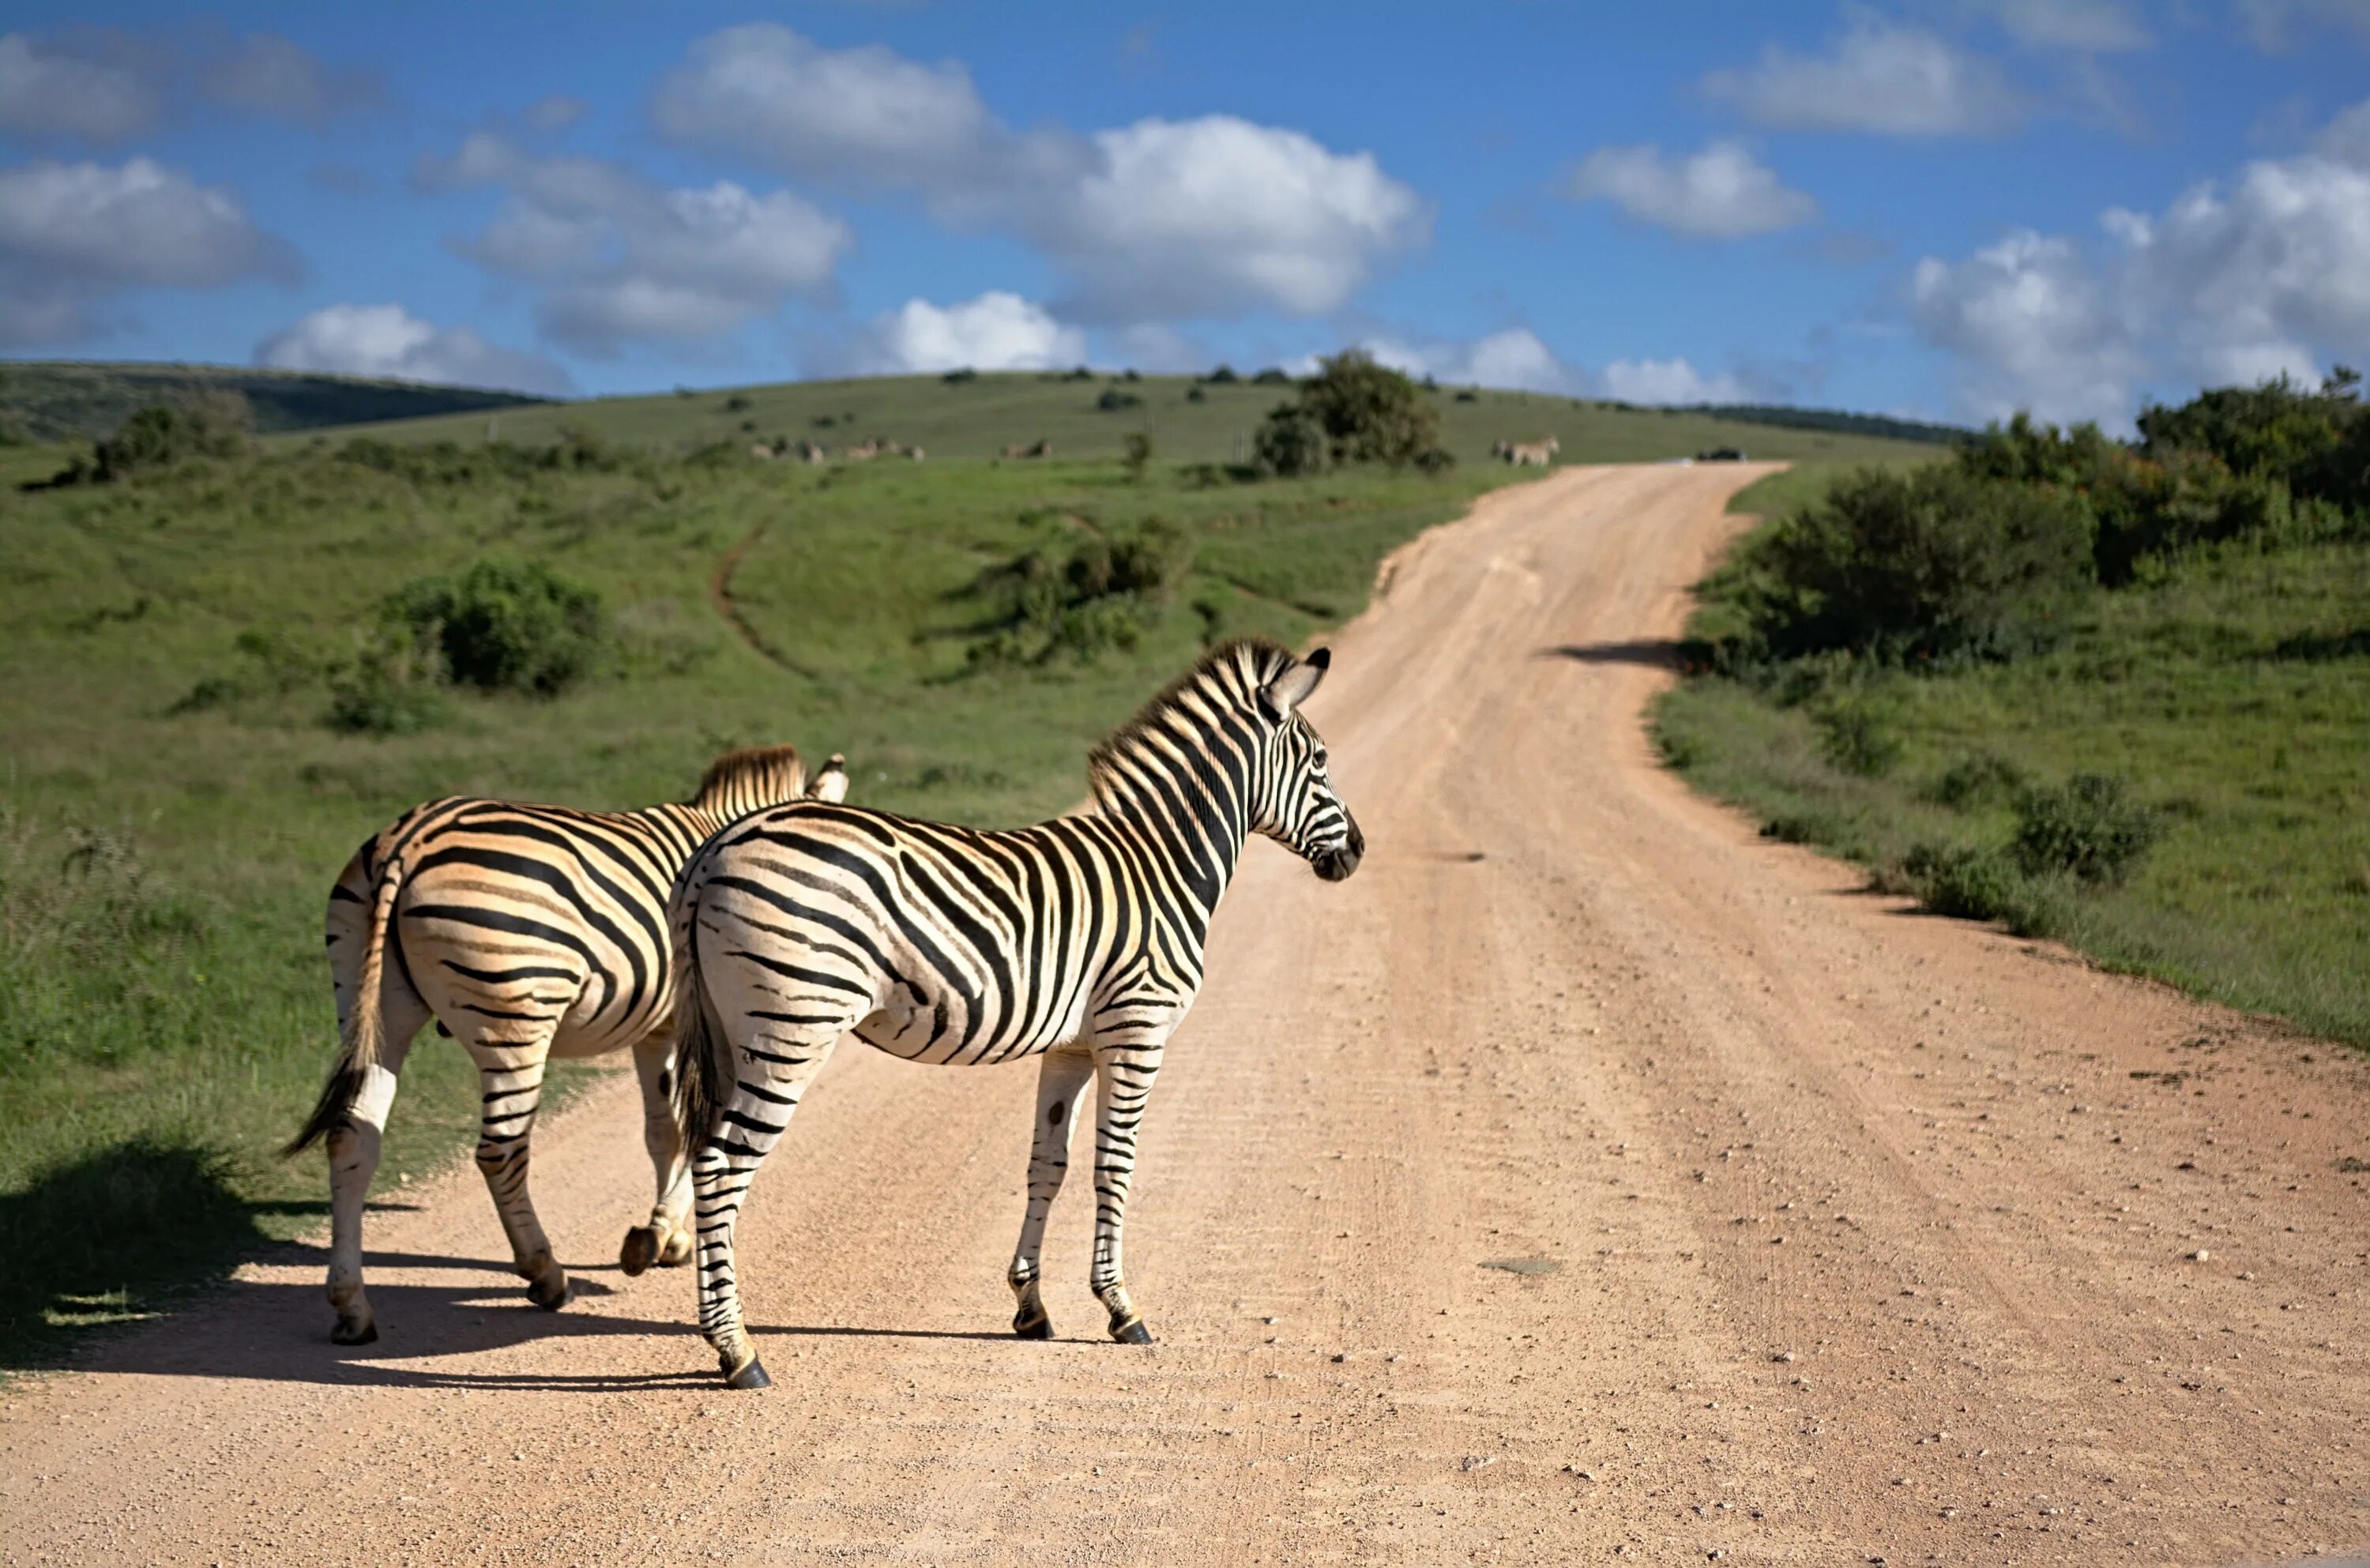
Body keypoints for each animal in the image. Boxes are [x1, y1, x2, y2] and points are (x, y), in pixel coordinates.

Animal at [287, 748, 848, 1355]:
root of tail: (409, 839)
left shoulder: (658, 1028)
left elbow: (664, 1131)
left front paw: (663, 1236)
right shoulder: (695, 1023)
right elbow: (695, 1129)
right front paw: (661, 1233)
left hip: (371, 1002)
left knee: (352, 1137)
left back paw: (352, 1307)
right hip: (515, 1013)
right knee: (501, 1151)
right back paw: (545, 1273)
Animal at [668, 639, 1375, 1393]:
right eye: (1320, 760)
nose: (1358, 852)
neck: (1163, 864)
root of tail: (717, 846)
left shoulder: (1072, 1047)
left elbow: (1048, 1163)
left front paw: (1031, 1305)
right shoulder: (1137, 1031)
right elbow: (1115, 1165)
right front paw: (1121, 1308)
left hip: (733, 1032)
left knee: (704, 1155)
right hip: (791, 1028)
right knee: (721, 1164)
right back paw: (737, 1349)